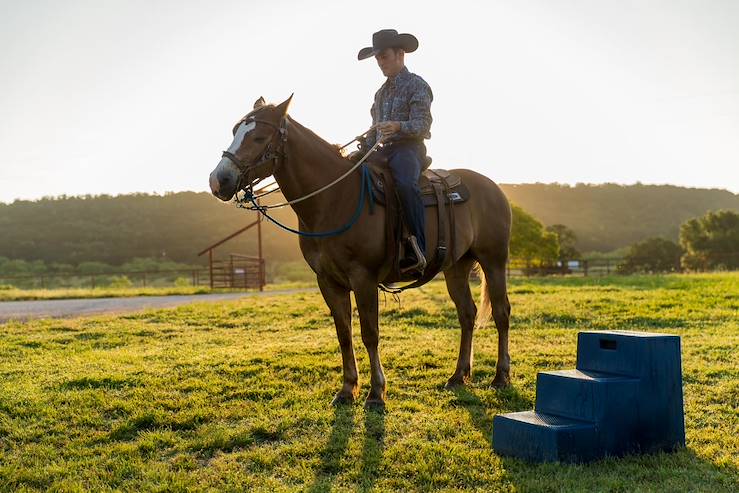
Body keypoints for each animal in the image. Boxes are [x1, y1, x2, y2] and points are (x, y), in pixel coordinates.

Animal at [207, 95, 508, 408]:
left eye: (258, 137)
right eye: (234, 131)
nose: (218, 180)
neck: (335, 199)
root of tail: (494, 188)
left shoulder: (364, 279)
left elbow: (370, 334)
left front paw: (376, 393)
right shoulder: (329, 282)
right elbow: (344, 334)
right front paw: (347, 388)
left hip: (494, 261)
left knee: (501, 312)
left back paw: (500, 377)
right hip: (456, 267)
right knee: (467, 314)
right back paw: (458, 376)